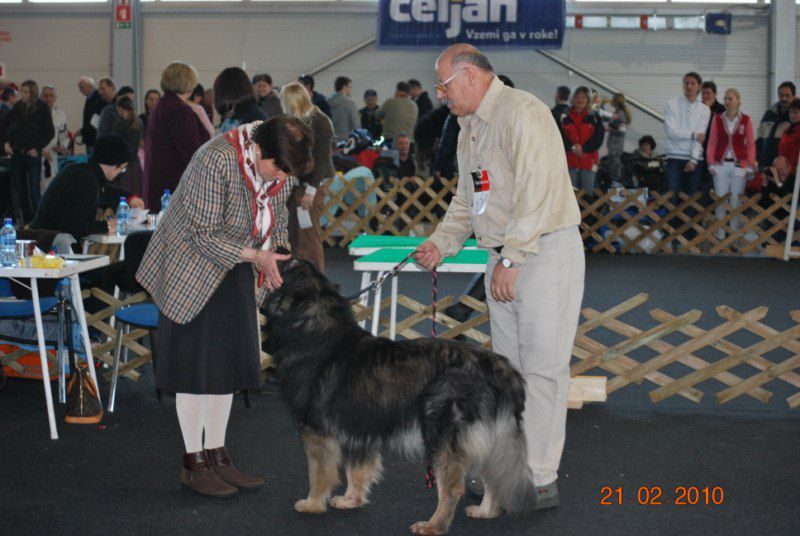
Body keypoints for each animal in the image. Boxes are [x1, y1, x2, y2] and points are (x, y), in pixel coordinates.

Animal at [264, 260, 532, 532]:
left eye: (286, 265)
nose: (275, 258)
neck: (314, 333)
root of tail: (496, 366)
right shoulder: (358, 428)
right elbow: (356, 469)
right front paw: (351, 499)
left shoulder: (315, 429)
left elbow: (319, 473)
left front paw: (313, 503)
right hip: (487, 437)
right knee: (493, 476)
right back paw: (485, 511)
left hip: (441, 432)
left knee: (452, 488)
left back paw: (433, 526)